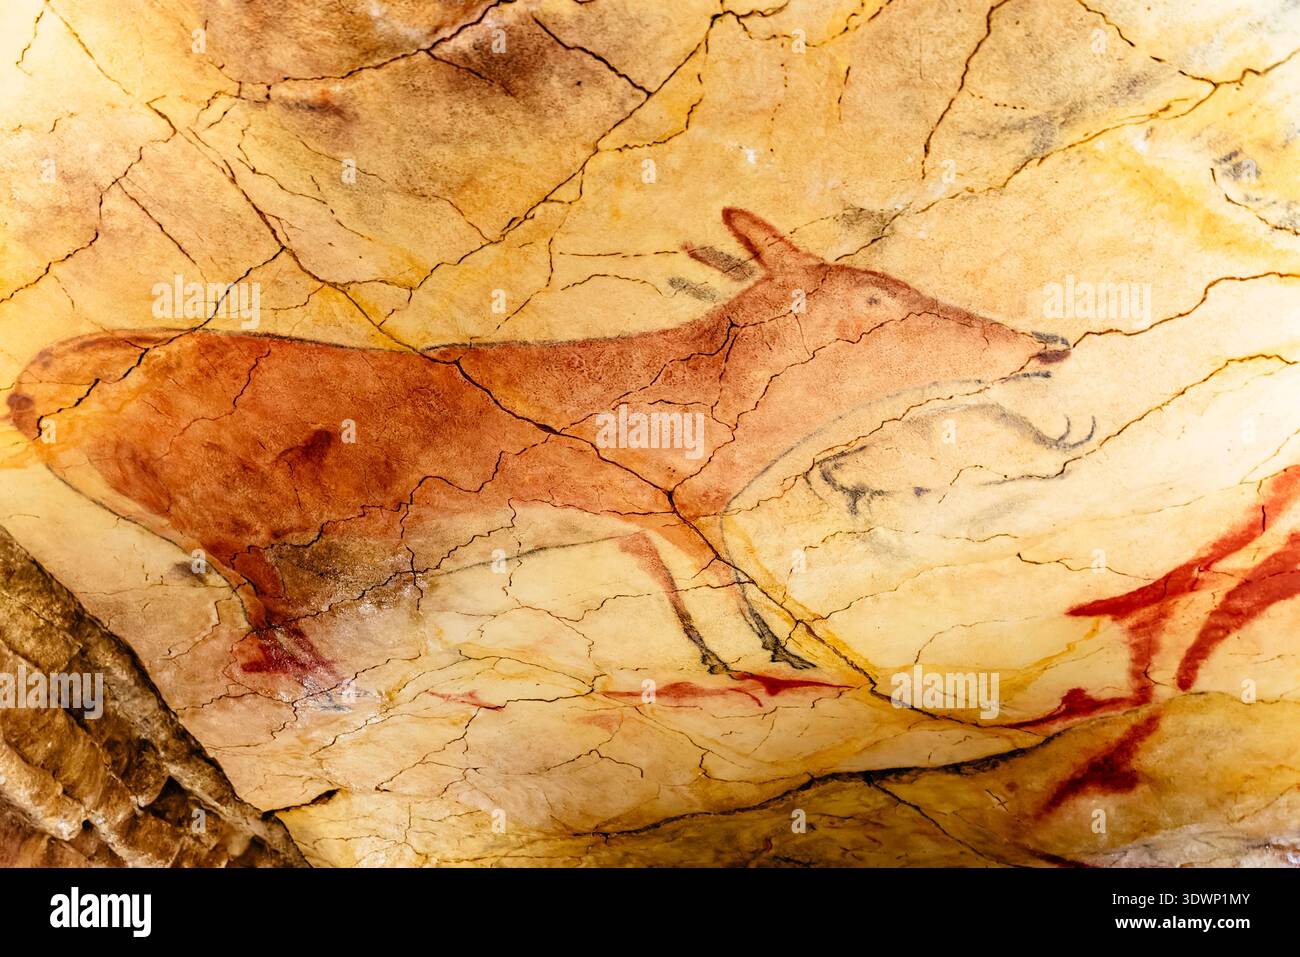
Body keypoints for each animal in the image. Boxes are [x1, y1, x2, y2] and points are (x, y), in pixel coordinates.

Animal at [5, 208, 1072, 697]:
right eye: (879, 300)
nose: (1045, 344)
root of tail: (43, 386)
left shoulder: (650, 521)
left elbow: (687, 587)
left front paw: (722, 661)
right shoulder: (659, 507)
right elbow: (726, 582)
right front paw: (787, 658)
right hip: (232, 536)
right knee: (267, 635)